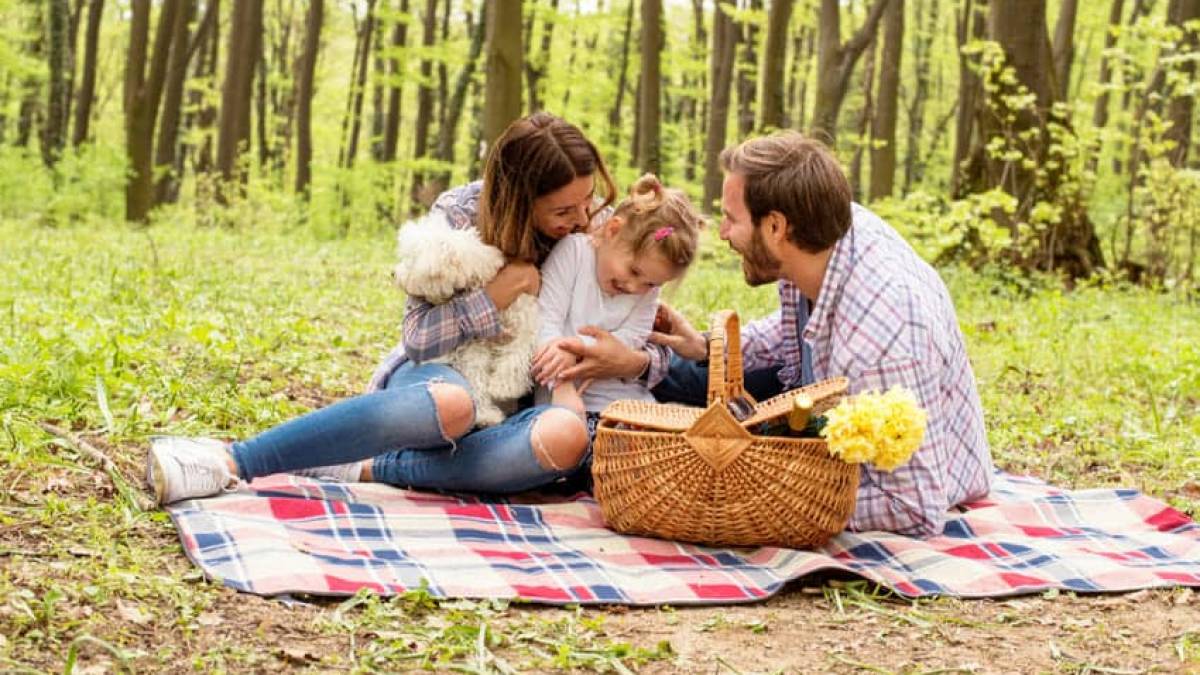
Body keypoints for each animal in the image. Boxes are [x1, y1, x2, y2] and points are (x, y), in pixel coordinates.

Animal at [393, 212, 540, 425]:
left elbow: (515, 355)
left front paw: (503, 387)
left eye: (410, 260)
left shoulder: (524, 325)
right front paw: (485, 414)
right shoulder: (474, 347)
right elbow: (476, 377)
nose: (393, 274)